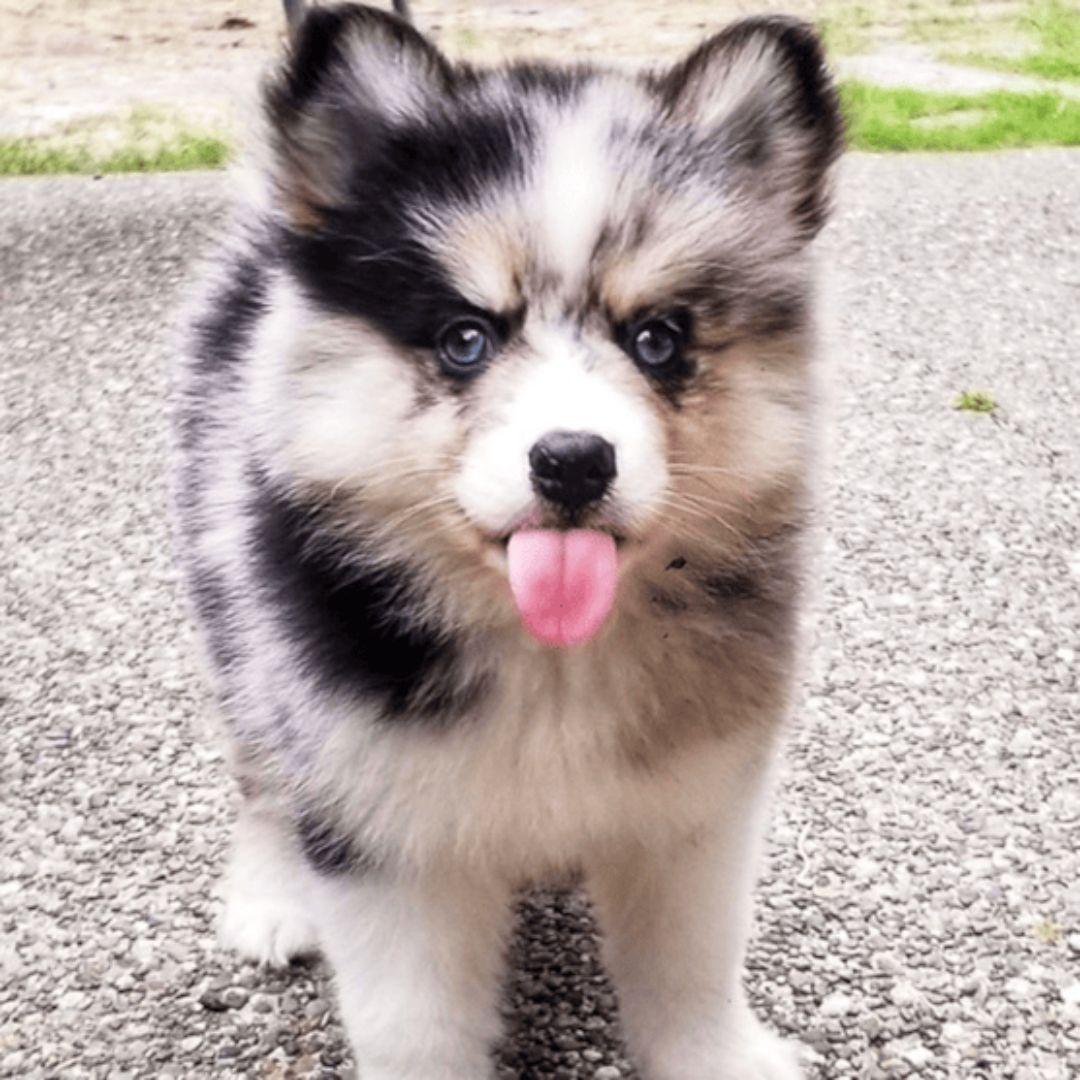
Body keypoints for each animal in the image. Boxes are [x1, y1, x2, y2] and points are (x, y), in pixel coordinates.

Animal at [170, 4, 842, 1075]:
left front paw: (715, 1056)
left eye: (658, 339)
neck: (553, 663)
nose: (572, 461)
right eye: (464, 339)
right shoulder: (380, 826)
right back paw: (270, 895)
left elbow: (691, 967)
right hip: (235, 613)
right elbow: (414, 1022)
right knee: (263, 774)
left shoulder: (696, 806)